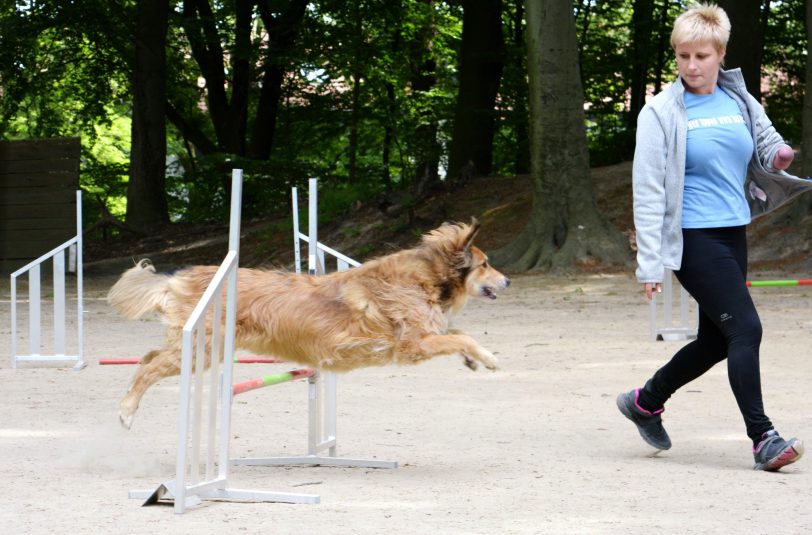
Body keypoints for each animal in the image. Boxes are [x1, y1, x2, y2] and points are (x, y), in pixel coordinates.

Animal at [107, 220, 508, 430]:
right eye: (486, 264)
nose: (507, 281)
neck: (426, 278)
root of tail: (179, 279)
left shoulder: (424, 337)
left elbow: (456, 334)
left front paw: (473, 359)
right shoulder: (411, 346)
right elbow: (461, 337)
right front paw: (488, 358)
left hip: (196, 349)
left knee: (148, 356)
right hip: (203, 351)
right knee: (151, 367)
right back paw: (125, 411)